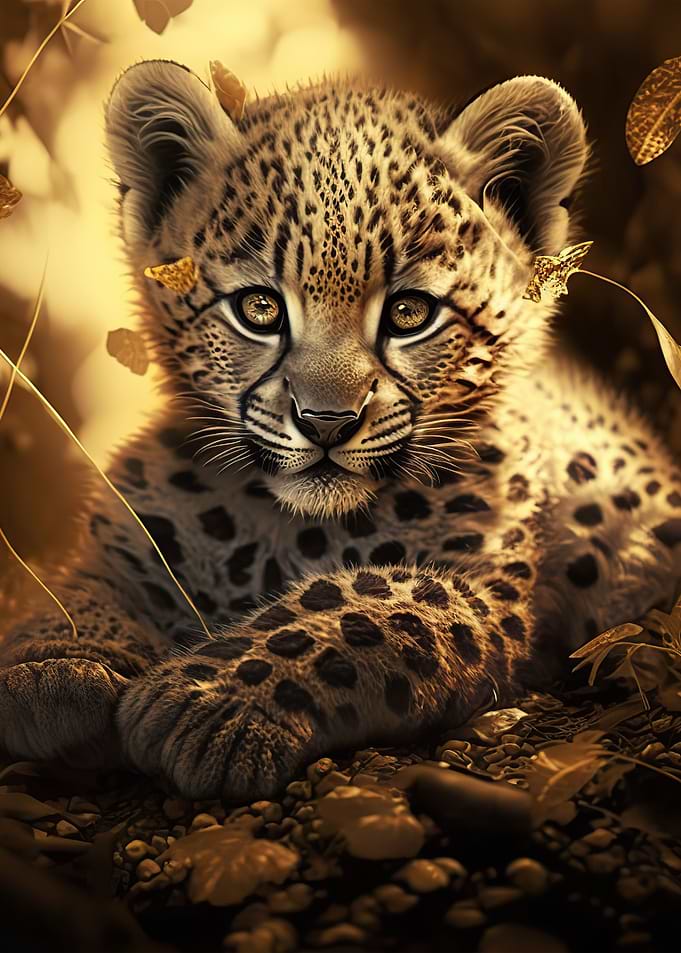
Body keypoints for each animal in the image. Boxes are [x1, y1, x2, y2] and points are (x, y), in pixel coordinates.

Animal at [1, 60, 680, 801]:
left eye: (410, 312)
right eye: (259, 308)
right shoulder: (127, 539)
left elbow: (365, 600)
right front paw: (54, 665)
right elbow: (85, 583)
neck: (287, 529)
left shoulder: (481, 586)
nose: (326, 420)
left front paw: (208, 699)